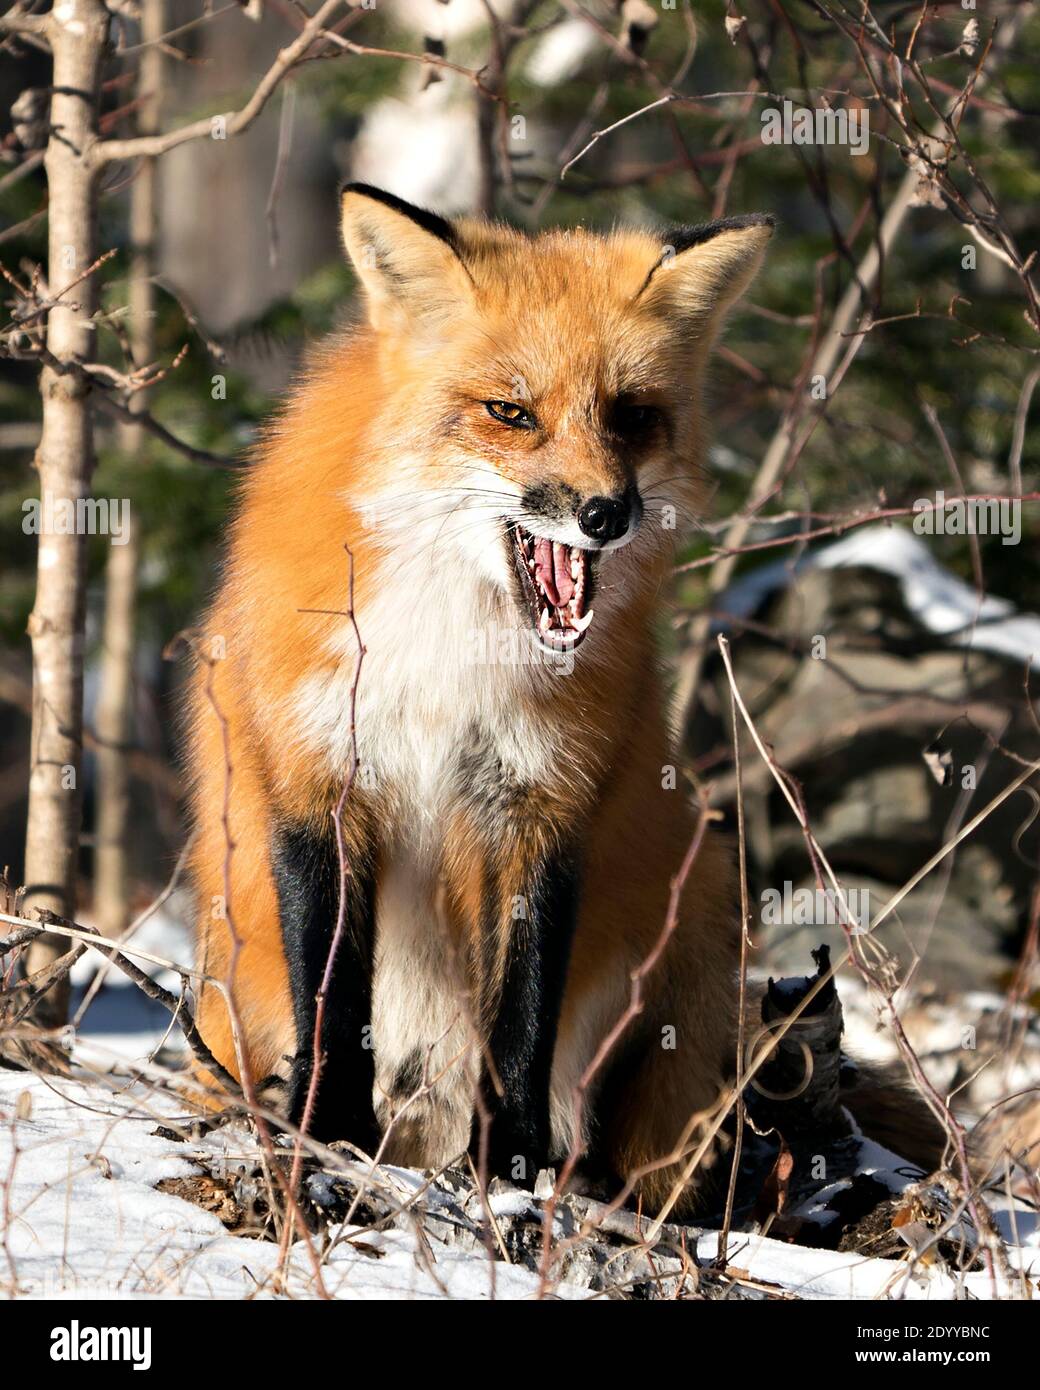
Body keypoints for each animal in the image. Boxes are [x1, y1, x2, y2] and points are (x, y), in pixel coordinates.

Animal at [186, 184, 943, 1214]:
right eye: (509, 411)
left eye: (630, 415)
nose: (605, 514)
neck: (452, 646)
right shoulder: (320, 787)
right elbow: (335, 1002)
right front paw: (325, 1134)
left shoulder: (542, 808)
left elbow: (522, 1023)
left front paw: (509, 1172)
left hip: (698, 920)